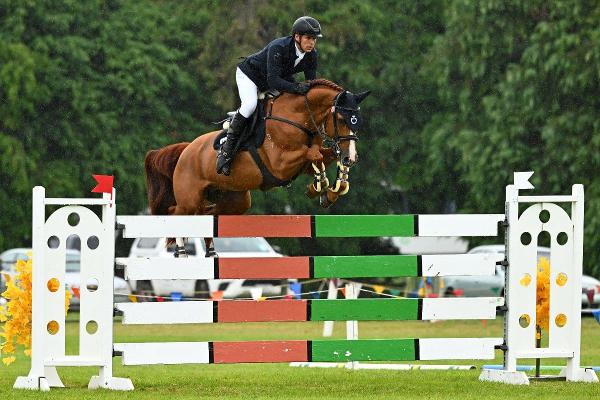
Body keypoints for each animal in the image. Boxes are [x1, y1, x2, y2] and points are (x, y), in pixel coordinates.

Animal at [145, 79, 370, 256]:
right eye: (341, 119)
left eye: (357, 121)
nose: (352, 157)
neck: (297, 117)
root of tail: (185, 150)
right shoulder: (280, 164)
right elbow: (314, 154)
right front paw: (321, 185)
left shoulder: (302, 164)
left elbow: (323, 155)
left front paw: (332, 188)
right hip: (189, 200)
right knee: (176, 212)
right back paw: (182, 251)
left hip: (236, 201)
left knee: (206, 216)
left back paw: (210, 251)